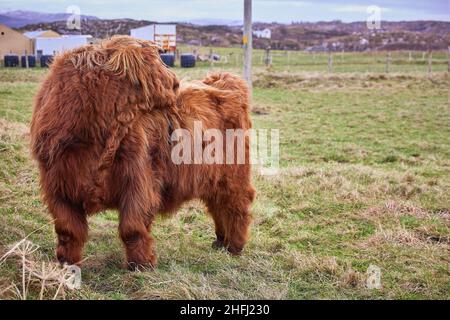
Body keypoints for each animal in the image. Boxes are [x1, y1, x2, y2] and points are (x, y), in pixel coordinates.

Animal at [31, 35, 255, 270]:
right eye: (155, 61)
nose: (175, 82)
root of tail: (225, 81)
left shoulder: (137, 180)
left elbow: (132, 227)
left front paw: (141, 265)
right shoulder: (57, 187)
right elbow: (68, 230)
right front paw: (67, 265)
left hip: (233, 173)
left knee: (236, 204)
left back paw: (234, 246)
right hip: (213, 176)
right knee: (217, 204)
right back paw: (221, 242)